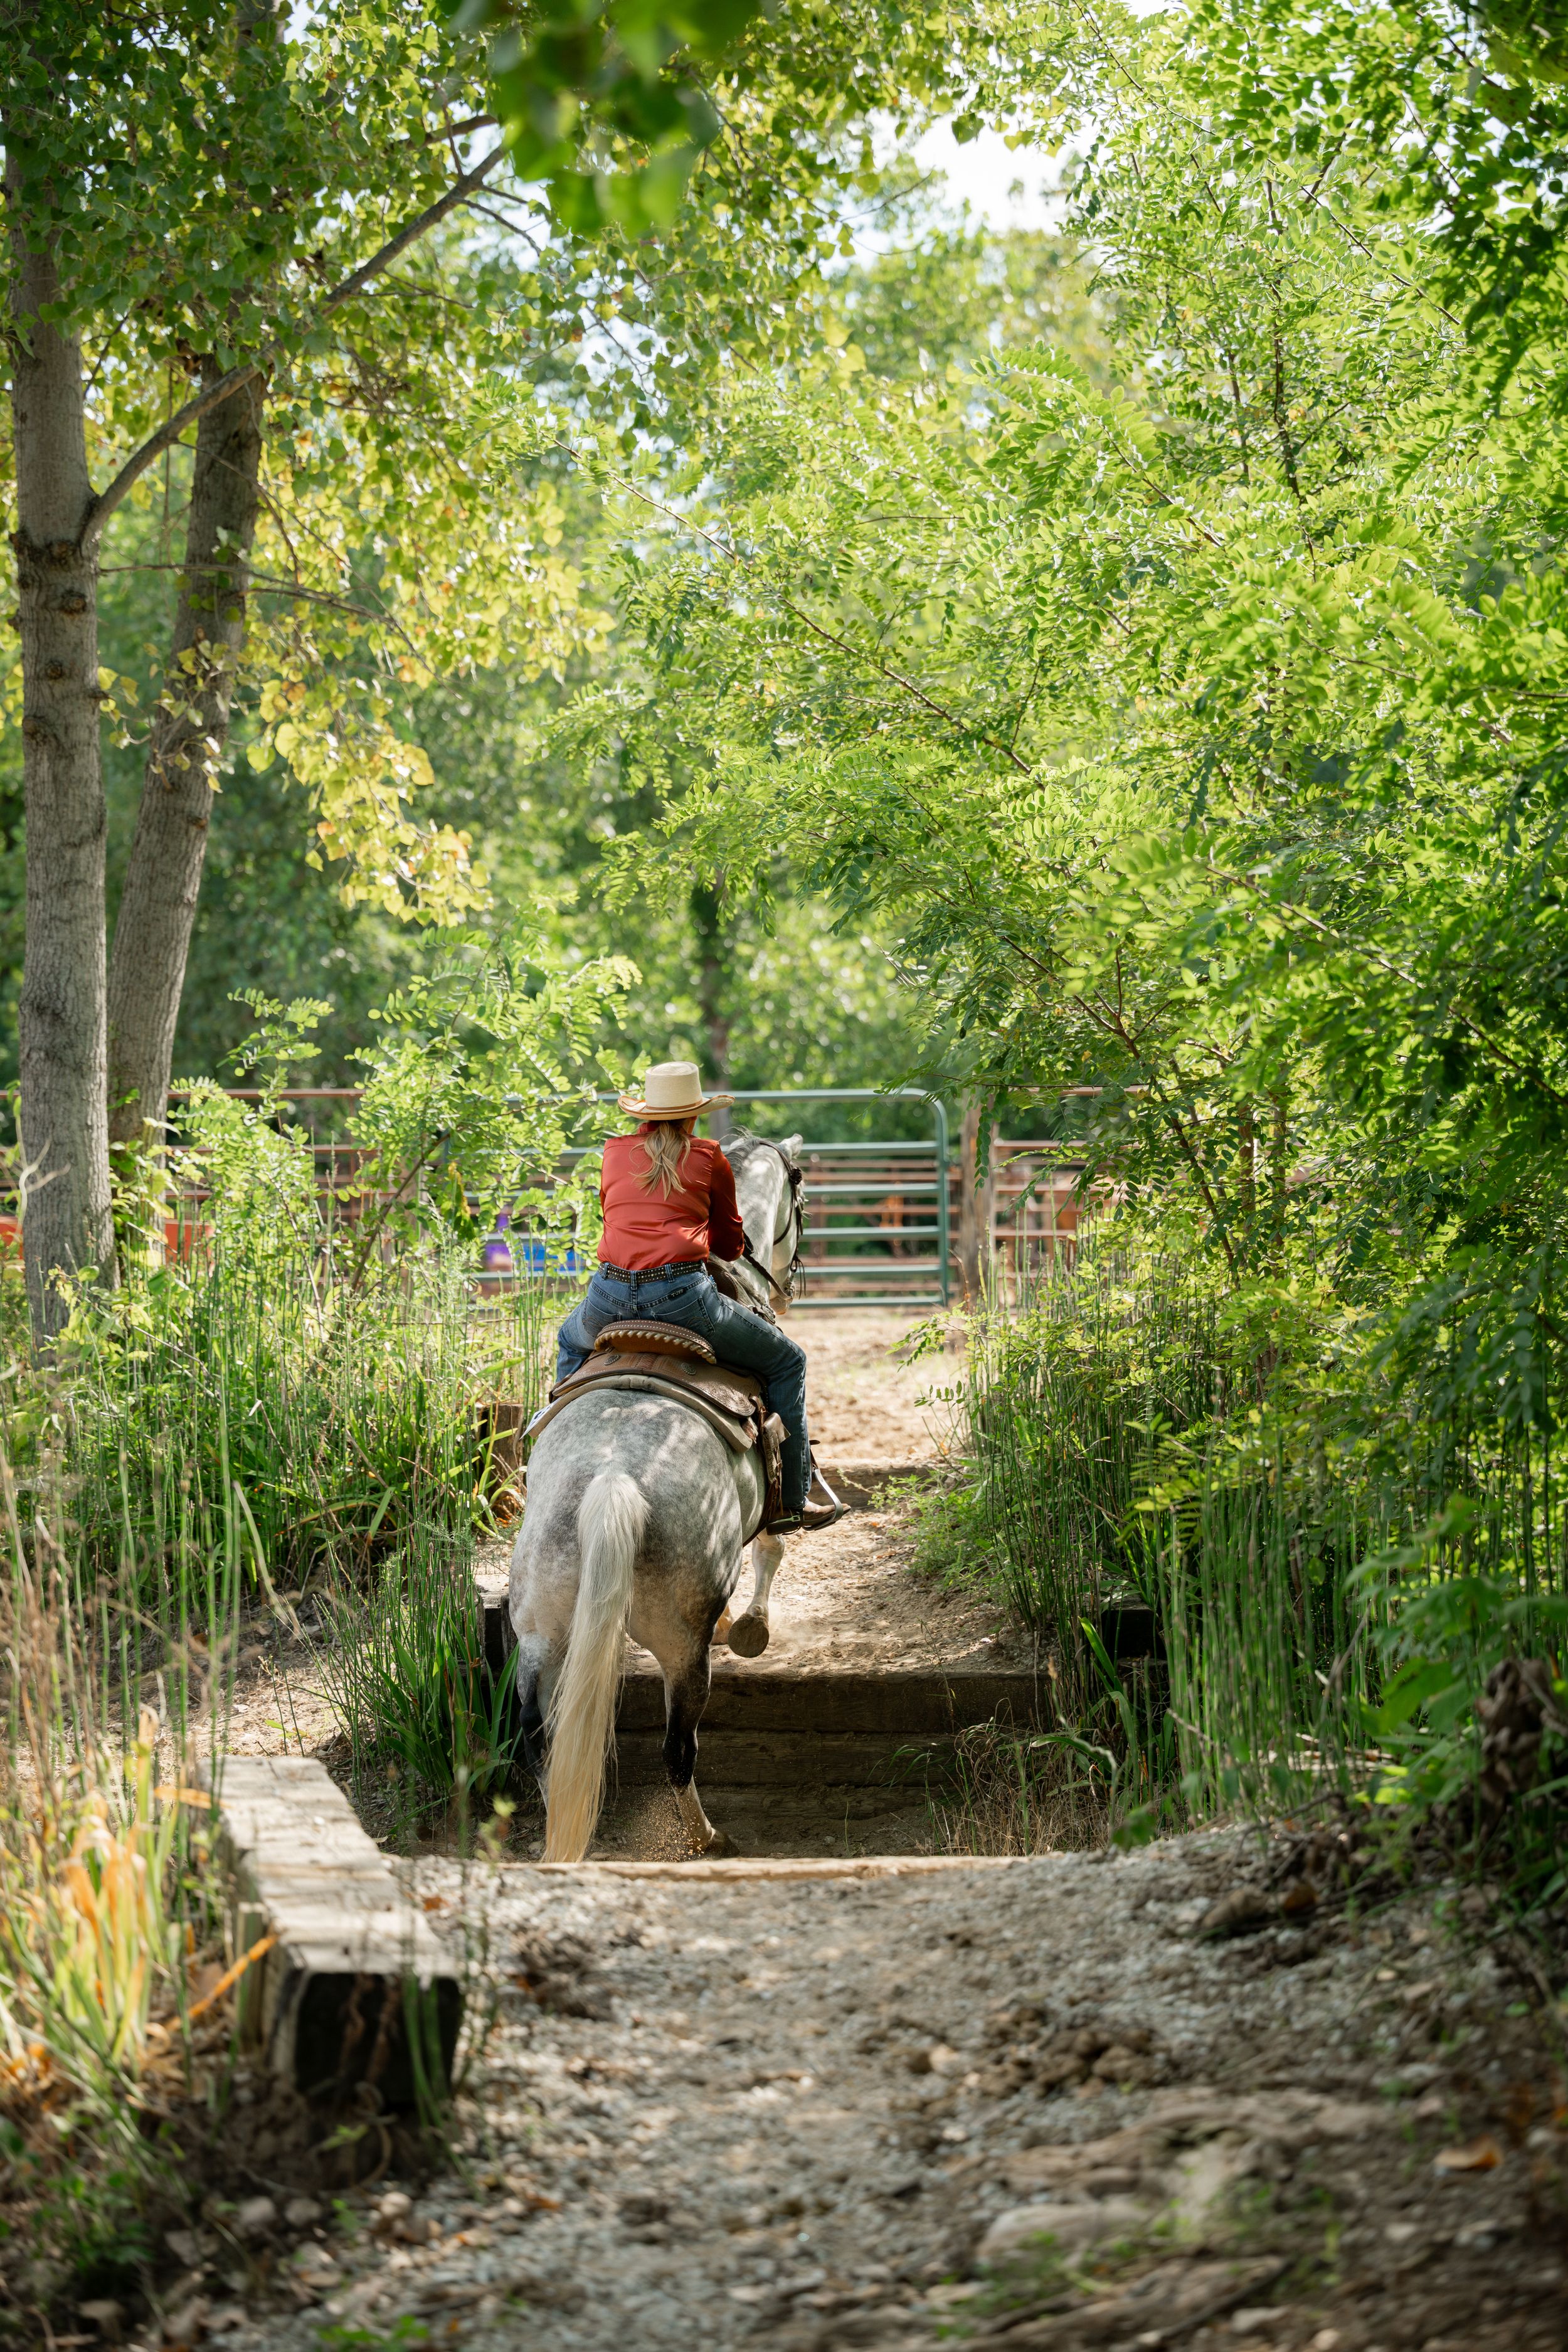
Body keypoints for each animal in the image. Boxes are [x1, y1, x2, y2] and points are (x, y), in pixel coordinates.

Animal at [508, 1130, 806, 1862]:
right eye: (799, 1190)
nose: (791, 1277)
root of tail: (613, 1474)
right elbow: (774, 1543)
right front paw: (750, 1627)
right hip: (680, 1652)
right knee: (678, 1750)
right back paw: (708, 1837)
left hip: (541, 1635)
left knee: (539, 1741)